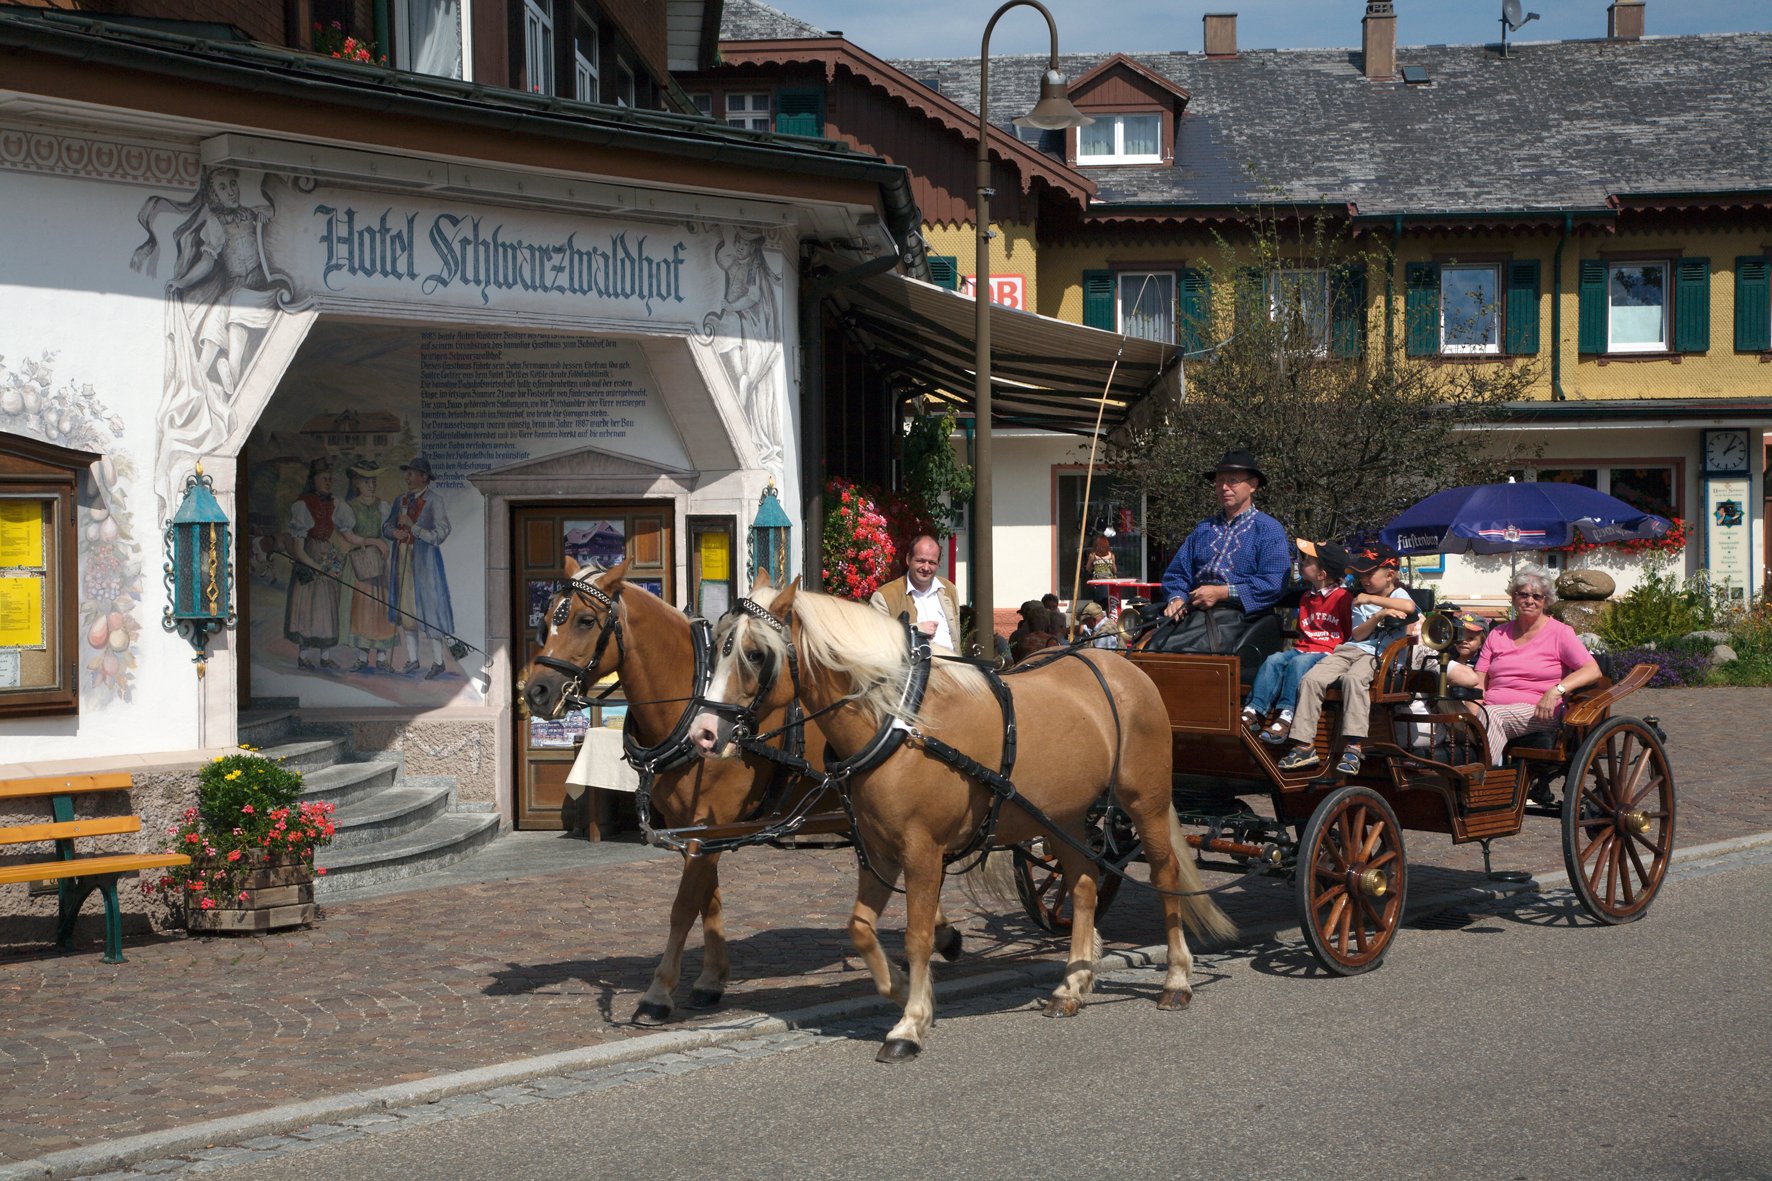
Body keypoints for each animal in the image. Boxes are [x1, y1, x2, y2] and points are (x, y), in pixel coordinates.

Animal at [517, 560, 963, 1021]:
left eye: (585, 621)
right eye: (547, 620)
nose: (535, 691)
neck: (691, 703)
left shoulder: (707, 826)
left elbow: (683, 907)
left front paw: (658, 992)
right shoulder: (698, 828)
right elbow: (708, 901)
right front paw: (711, 979)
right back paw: (943, 933)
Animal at [683, 578, 1240, 1056]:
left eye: (754, 654)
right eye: (719, 647)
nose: (704, 733)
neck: (899, 722)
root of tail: (1123, 664)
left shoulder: (922, 852)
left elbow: (917, 935)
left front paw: (909, 1024)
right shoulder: (877, 850)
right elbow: (861, 928)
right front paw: (904, 990)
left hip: (1145, 800)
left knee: (1166, 876)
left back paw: (1176, 979)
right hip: (1064, 815)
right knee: (1083, 885)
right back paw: (1072, 984)